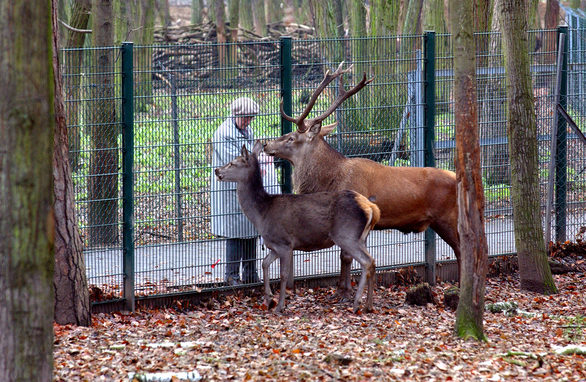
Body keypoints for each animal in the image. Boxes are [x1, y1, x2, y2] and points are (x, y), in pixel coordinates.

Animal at [214, 141, 378, 314]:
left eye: (233, 162)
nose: (217, 170)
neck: (262, 213)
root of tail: (371, 208)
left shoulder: (284, 243)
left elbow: (284, 274)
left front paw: (279, 305)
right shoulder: (274, 246)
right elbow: (264, 263)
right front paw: (268, 299)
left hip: (346, 235)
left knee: (366, 261)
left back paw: (357, 303)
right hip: (361, 237)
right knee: (373, 261)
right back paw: (368, 305)